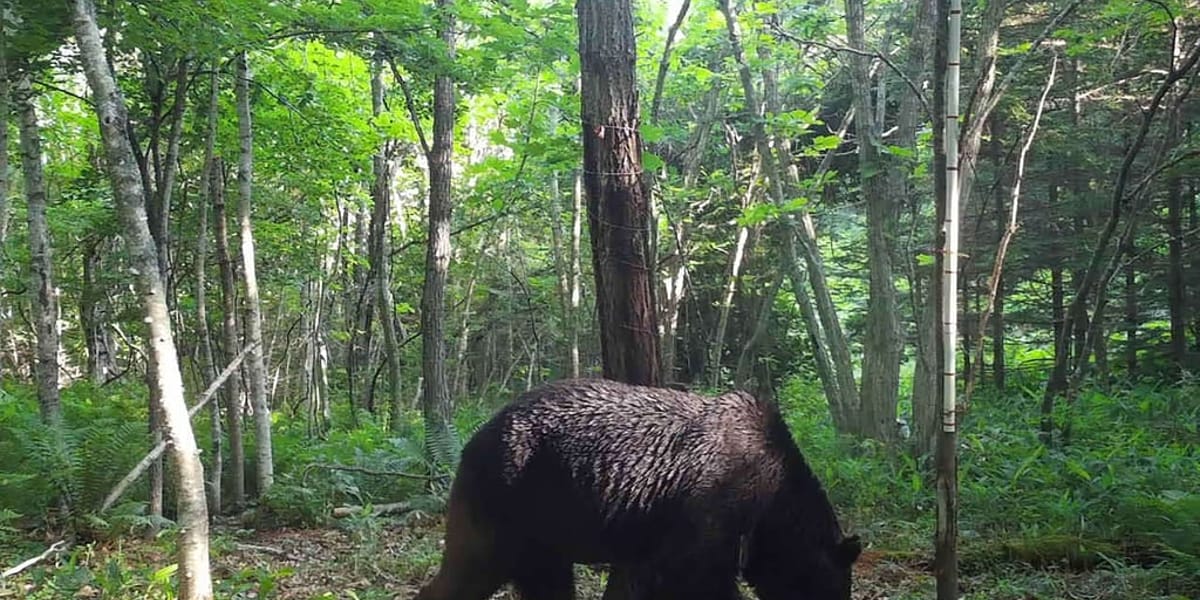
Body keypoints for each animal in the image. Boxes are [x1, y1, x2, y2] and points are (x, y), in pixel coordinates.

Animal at [414, 378, 861, 600]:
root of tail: (474, 439)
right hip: (510, 497)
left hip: (539, 525)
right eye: (838, 589)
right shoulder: (711, 509)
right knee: (473, 568)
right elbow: (696, 577)